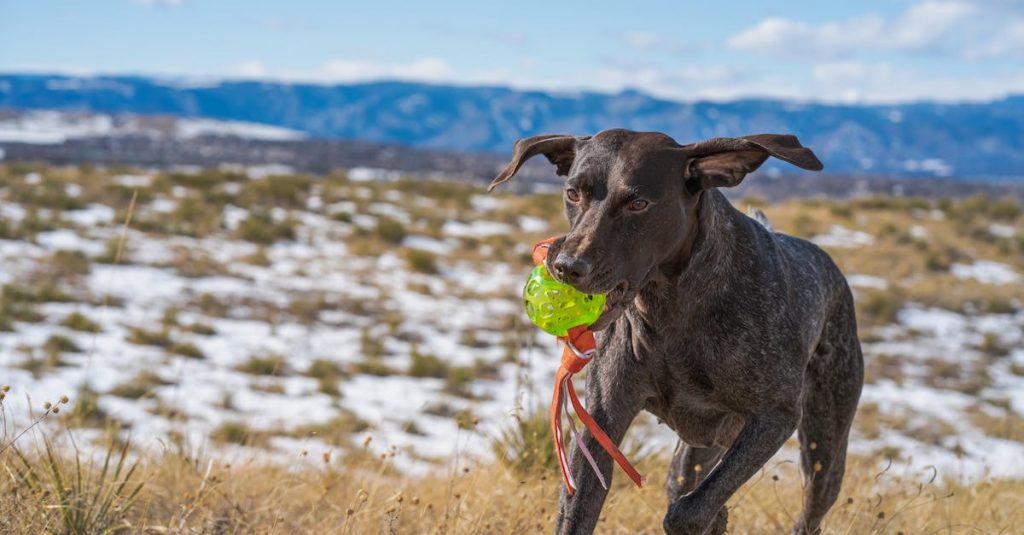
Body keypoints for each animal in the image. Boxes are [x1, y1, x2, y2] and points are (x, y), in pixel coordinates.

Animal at [487, 130, 864, 532]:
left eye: (638, 203)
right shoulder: (602, 421)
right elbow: (576, 511)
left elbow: (688, 511)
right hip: (693, 454)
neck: (673, 310)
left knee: (810, 512)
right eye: (573, 193)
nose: (565, 267)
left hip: (823, 450)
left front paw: (706, 517)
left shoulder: (775, 417)